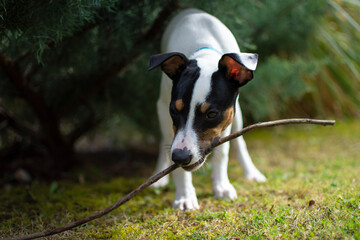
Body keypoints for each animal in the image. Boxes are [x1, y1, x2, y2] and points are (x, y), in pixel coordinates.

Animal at [148, 8, 266, 210]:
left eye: (211, 114)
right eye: (175, 111)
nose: (180, 157)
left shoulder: (228, 116)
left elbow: (223, 150)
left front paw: (221, 186)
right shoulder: (164, 108)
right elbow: (172, 152)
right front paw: (185, 195)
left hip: (238, 114)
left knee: (239, 141)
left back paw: (251, 172)